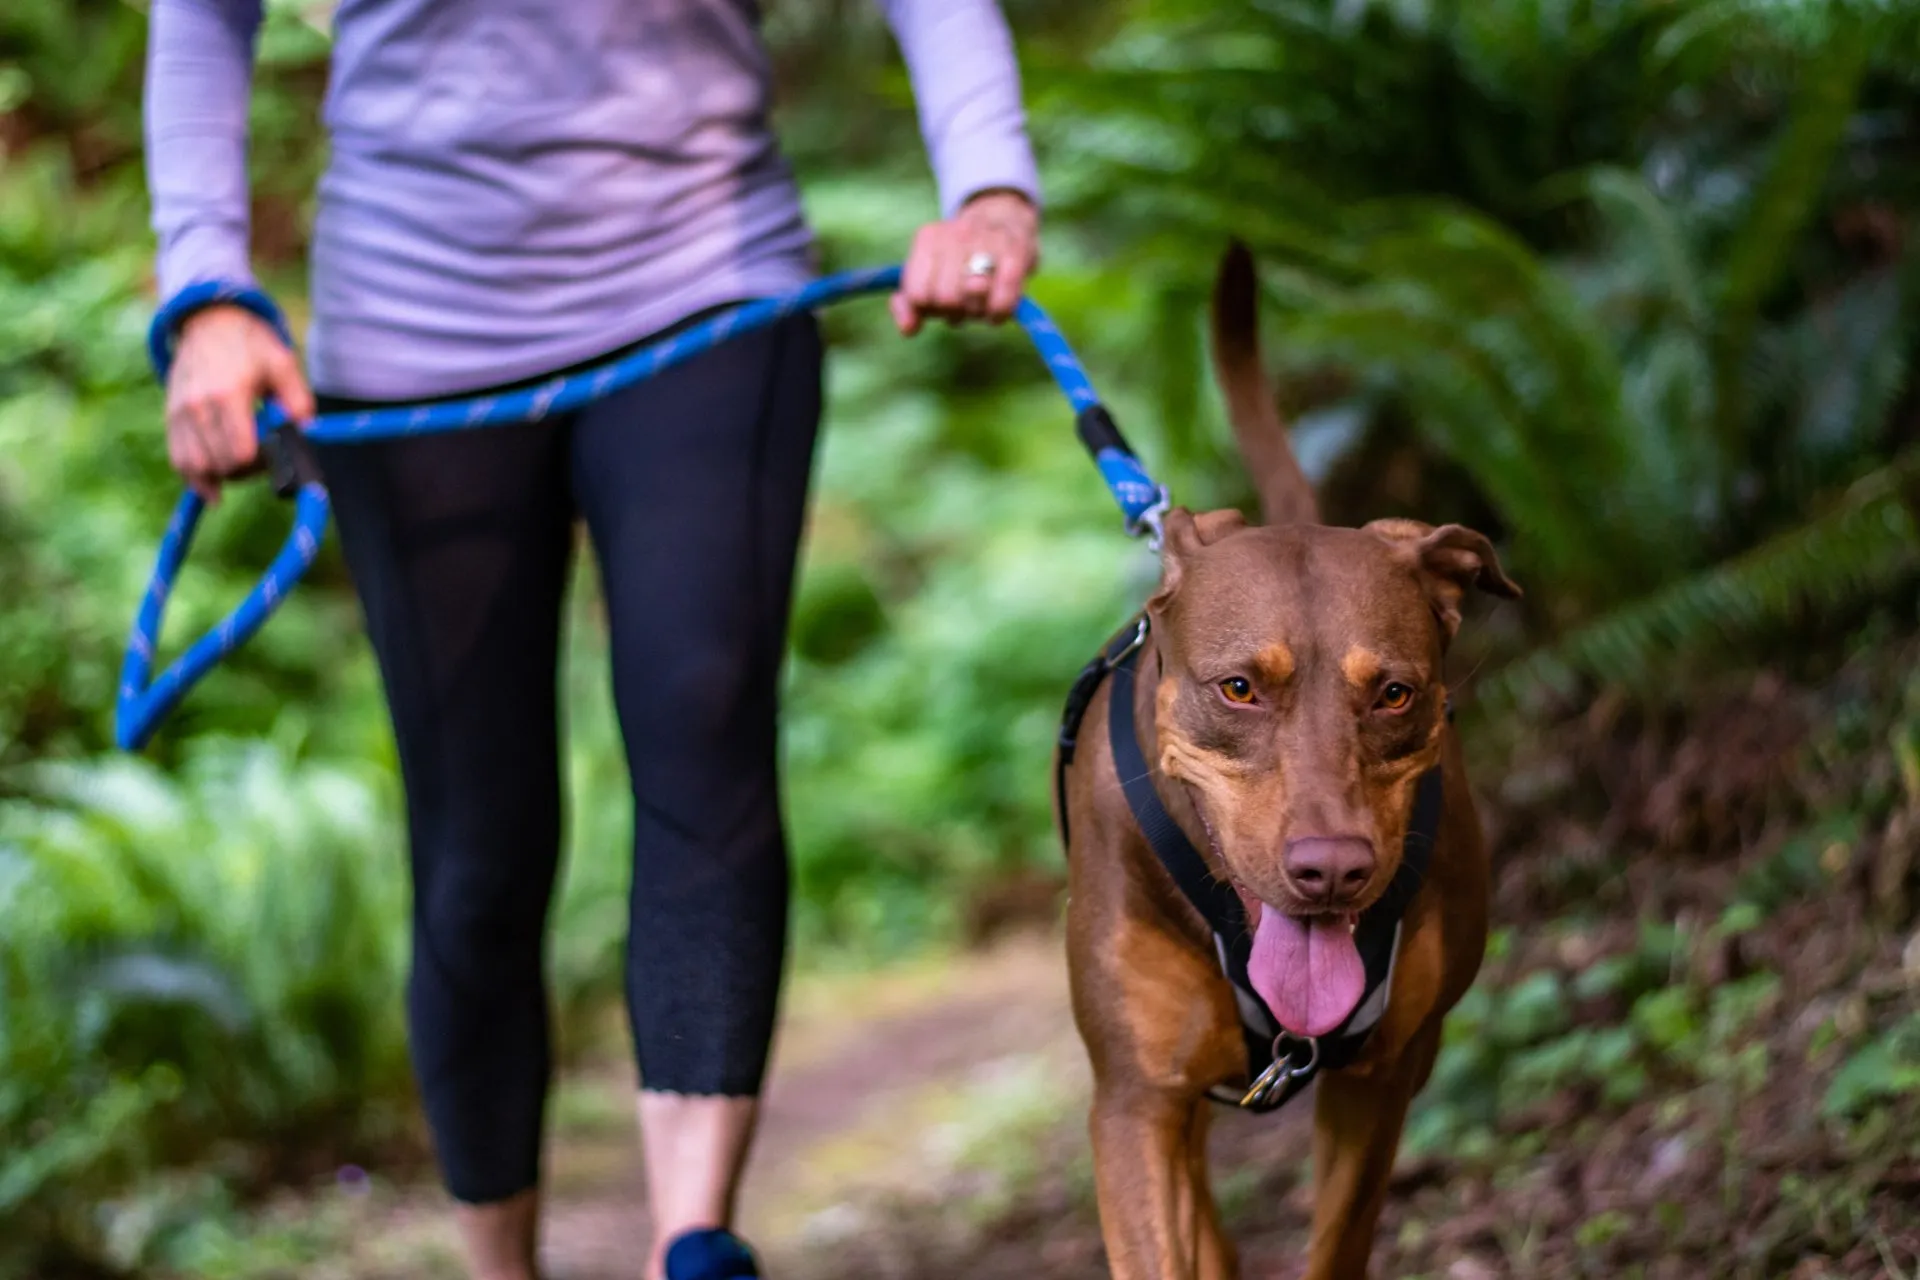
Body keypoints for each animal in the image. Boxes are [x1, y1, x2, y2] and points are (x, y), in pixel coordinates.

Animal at [1059, 242, 1520, 1280]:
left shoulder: (1385, 1074)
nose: (1333, 870)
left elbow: (1338, 1239)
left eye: (1394, 694)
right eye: (1239, 689)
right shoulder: (1135, 1102)